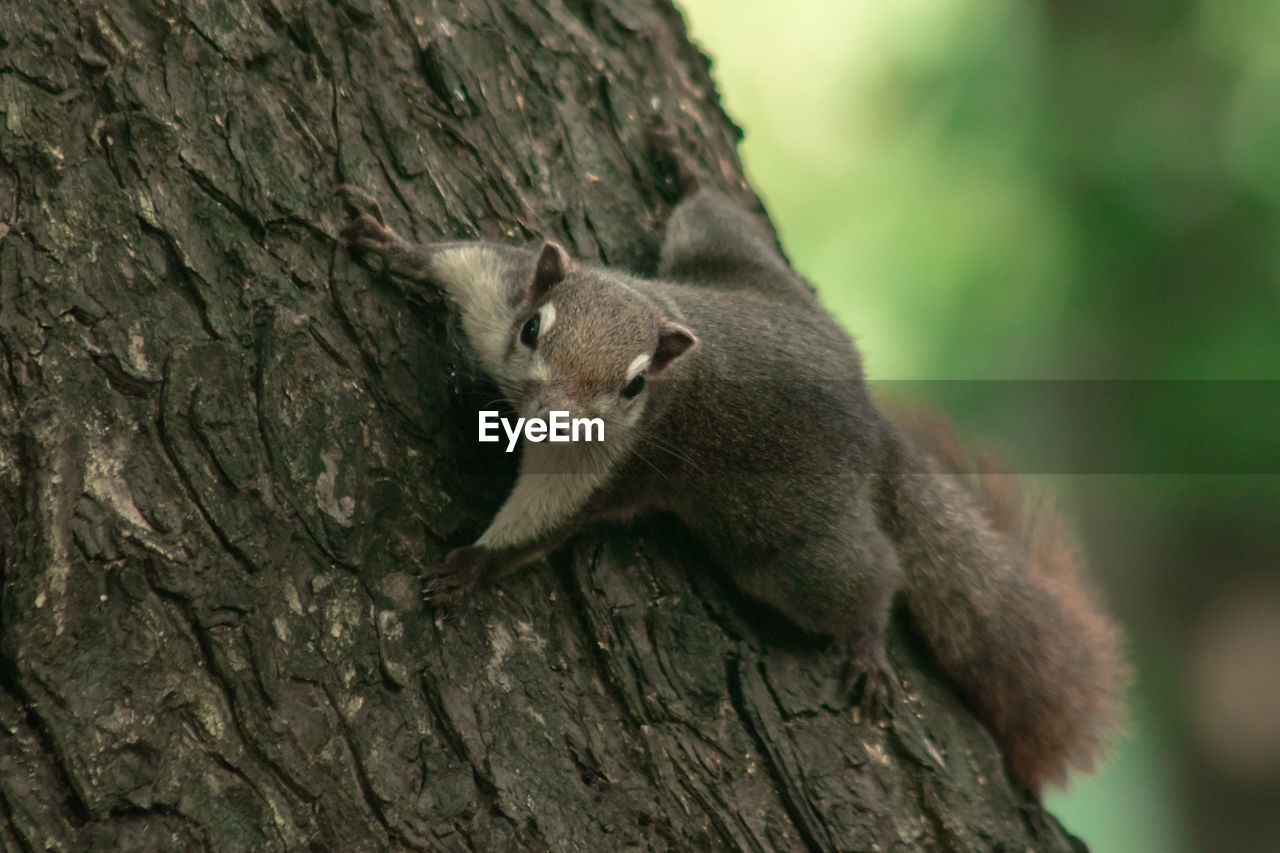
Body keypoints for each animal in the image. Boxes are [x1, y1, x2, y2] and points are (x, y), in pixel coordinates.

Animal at [335, 136, 1126, 794]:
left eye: (634, 387)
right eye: (533, 329)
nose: (550, 420)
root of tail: (870, 420)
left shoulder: (608, 466)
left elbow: (540, 525)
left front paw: (469, 566)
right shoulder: (498, 287)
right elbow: (453, 259)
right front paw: (388, 242)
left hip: (787, 544)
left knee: (868, 575)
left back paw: (868, 643)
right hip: (737, 266)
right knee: (719, 221)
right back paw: (685, 164)